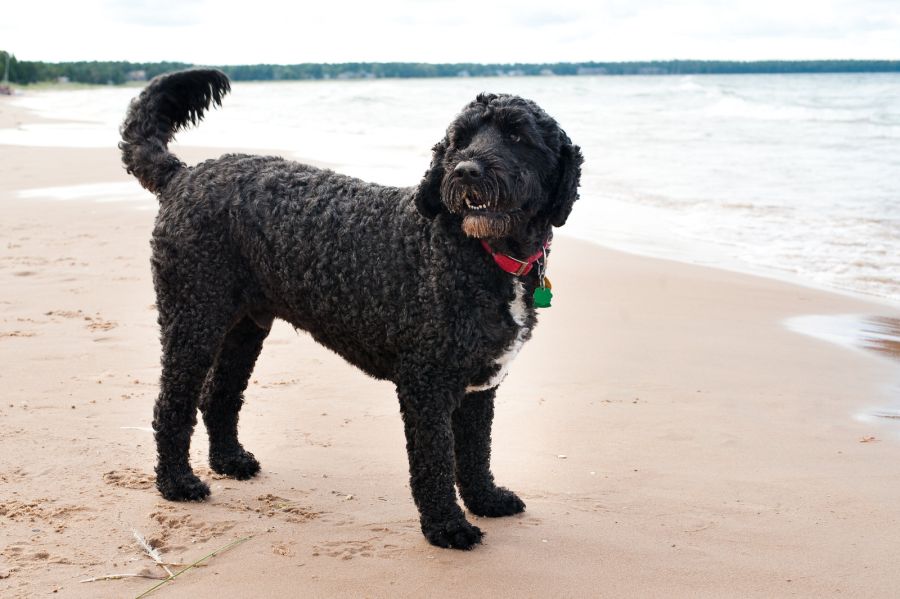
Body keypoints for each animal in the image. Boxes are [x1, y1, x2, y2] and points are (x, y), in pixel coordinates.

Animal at [119, 69, 584, 548]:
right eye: (460, 138)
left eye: (517, 136)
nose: (466, 170)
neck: (480, 253)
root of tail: (183, 174)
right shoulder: (427, 384)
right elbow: (435, 462)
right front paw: (446, 526)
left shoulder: (479, 384)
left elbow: (475, 453)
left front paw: (486, 500)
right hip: (193, 319)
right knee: (172, 405)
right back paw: (177, 482)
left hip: (244, 329)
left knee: (219, 395)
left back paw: (230, 460)